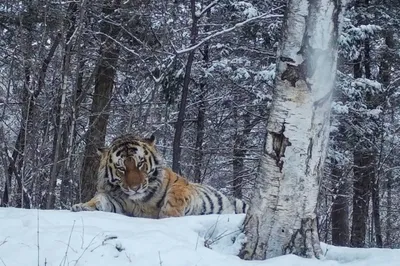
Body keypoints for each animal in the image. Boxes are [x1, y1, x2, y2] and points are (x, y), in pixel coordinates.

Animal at [71, 133, 247, 218]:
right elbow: (100, 199)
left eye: (140, 163)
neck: (140, 200)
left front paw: (168, 215)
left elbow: (175, 196)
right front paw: (82, 206)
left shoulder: (181, 183)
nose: (135, 188)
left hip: (240, 204)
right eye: (121, 168)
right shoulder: (117, 199)